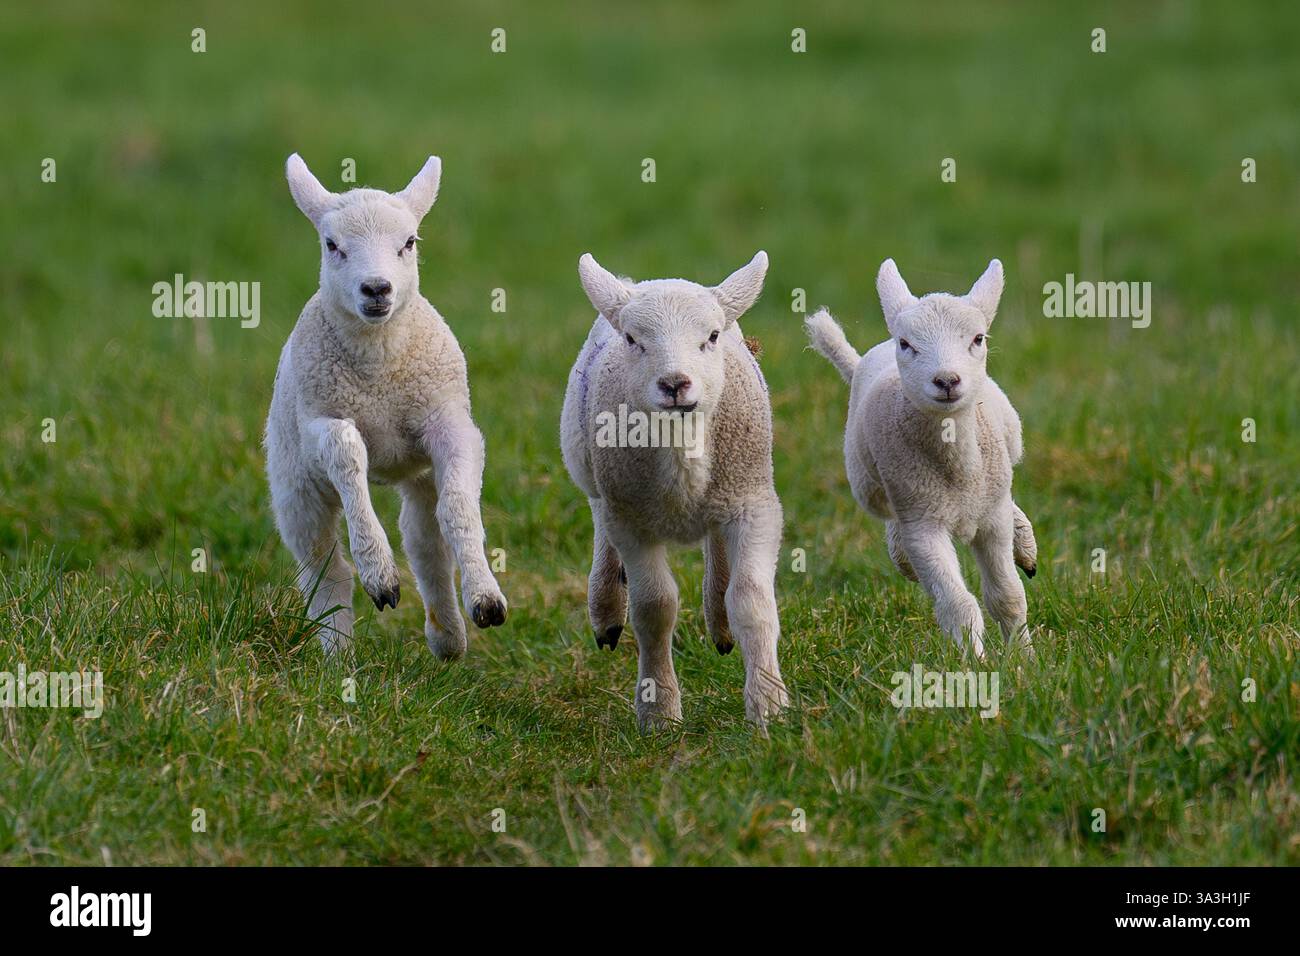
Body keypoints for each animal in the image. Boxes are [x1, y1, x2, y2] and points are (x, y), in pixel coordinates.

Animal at [265, 153, 508, 658]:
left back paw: (447, 636)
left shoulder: (450, 422)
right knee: (323, 566)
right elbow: (345, 450)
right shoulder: (320, 420)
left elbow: (458, 509)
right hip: (294, 480)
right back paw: (338, 656)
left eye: (409, 242)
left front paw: (487, 599)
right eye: (332, 245)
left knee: (426, 543)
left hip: (419, 470)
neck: (378, 367)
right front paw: (379, 572)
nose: (376, 289)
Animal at [560, 251, 789, 730]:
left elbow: (751, 600)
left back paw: (719, 621)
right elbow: (655, 608)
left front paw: (768, 705)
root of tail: (646, 279)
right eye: (632, 339)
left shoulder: (754, 506)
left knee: (717, 545)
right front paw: (659, 712)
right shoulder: (631, 520)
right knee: (599, 521)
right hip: (596, 475)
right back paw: (606, 608)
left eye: (712, 337)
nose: (674, 384)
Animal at [804, 258, 1037, 658]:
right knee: (892, 521)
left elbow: (1007, 596)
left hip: (1010, 439)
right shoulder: (924, 524)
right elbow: (959, 604)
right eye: (907, 344)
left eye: (978, 339)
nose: (947, 381)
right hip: (871, 485)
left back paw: (1025, 544)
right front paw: (976, 663)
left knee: (1009, 497)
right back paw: (903, 557)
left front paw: (1024, 658)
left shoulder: (992, 519)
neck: (958, 472)